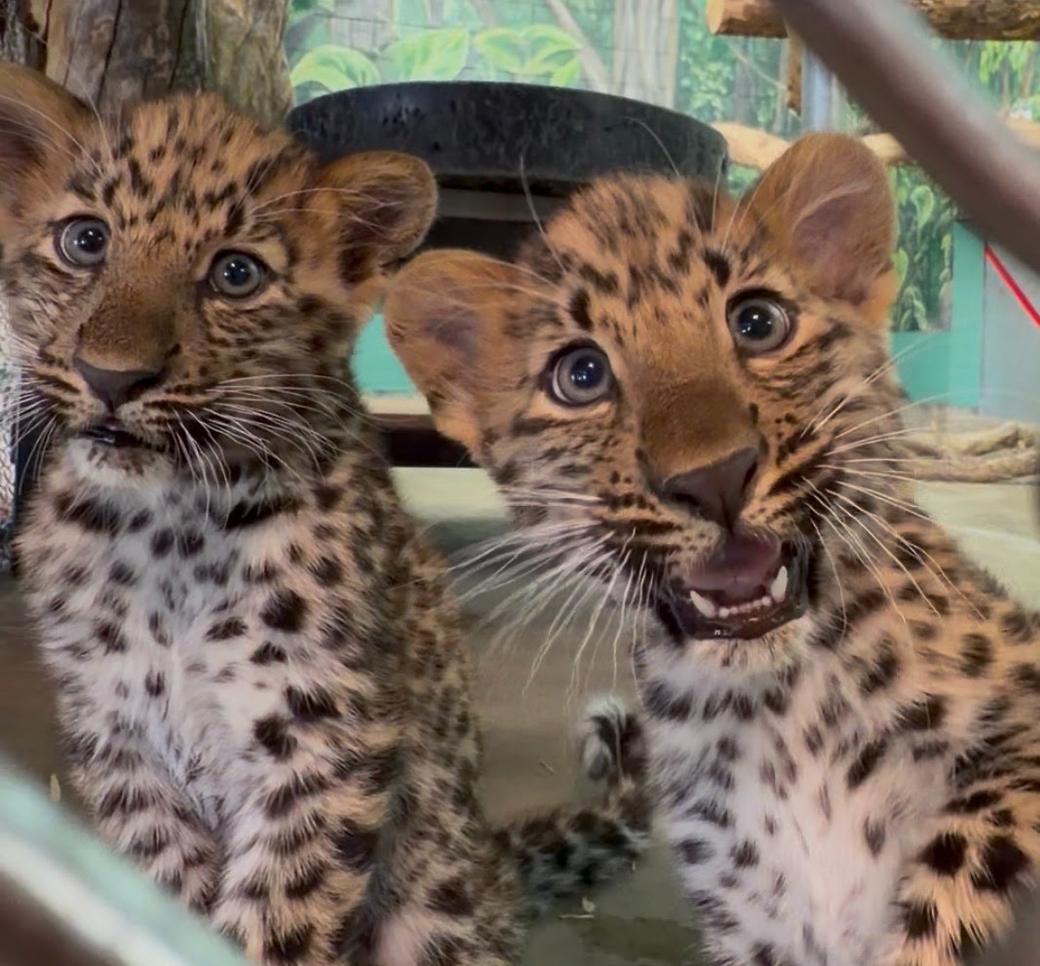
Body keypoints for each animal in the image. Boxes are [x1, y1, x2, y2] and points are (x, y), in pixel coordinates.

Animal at [0, 63, 651, 966]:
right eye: (84, 241)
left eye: (236, 275)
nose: (110, 377)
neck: (161, 523)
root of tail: (493, 864)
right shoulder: (121, 738)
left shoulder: (320, 735)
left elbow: (274, 921)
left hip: (438, 899)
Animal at [383, 131, 1040, 966]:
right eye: (581, 374)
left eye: (757, 322)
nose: (714, 478)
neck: (782, 715)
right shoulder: (748, 915)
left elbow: (960, 857)